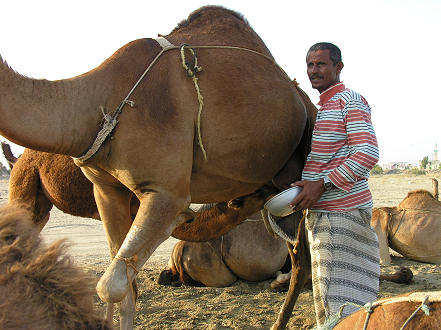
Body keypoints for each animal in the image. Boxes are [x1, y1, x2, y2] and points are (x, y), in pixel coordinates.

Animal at [0, 6, 312, 328]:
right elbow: (125, 289)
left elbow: (110, 286)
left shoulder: (166, 192)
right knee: (299, 255)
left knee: (307, 255)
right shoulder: (106, 188)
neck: (98, 101)